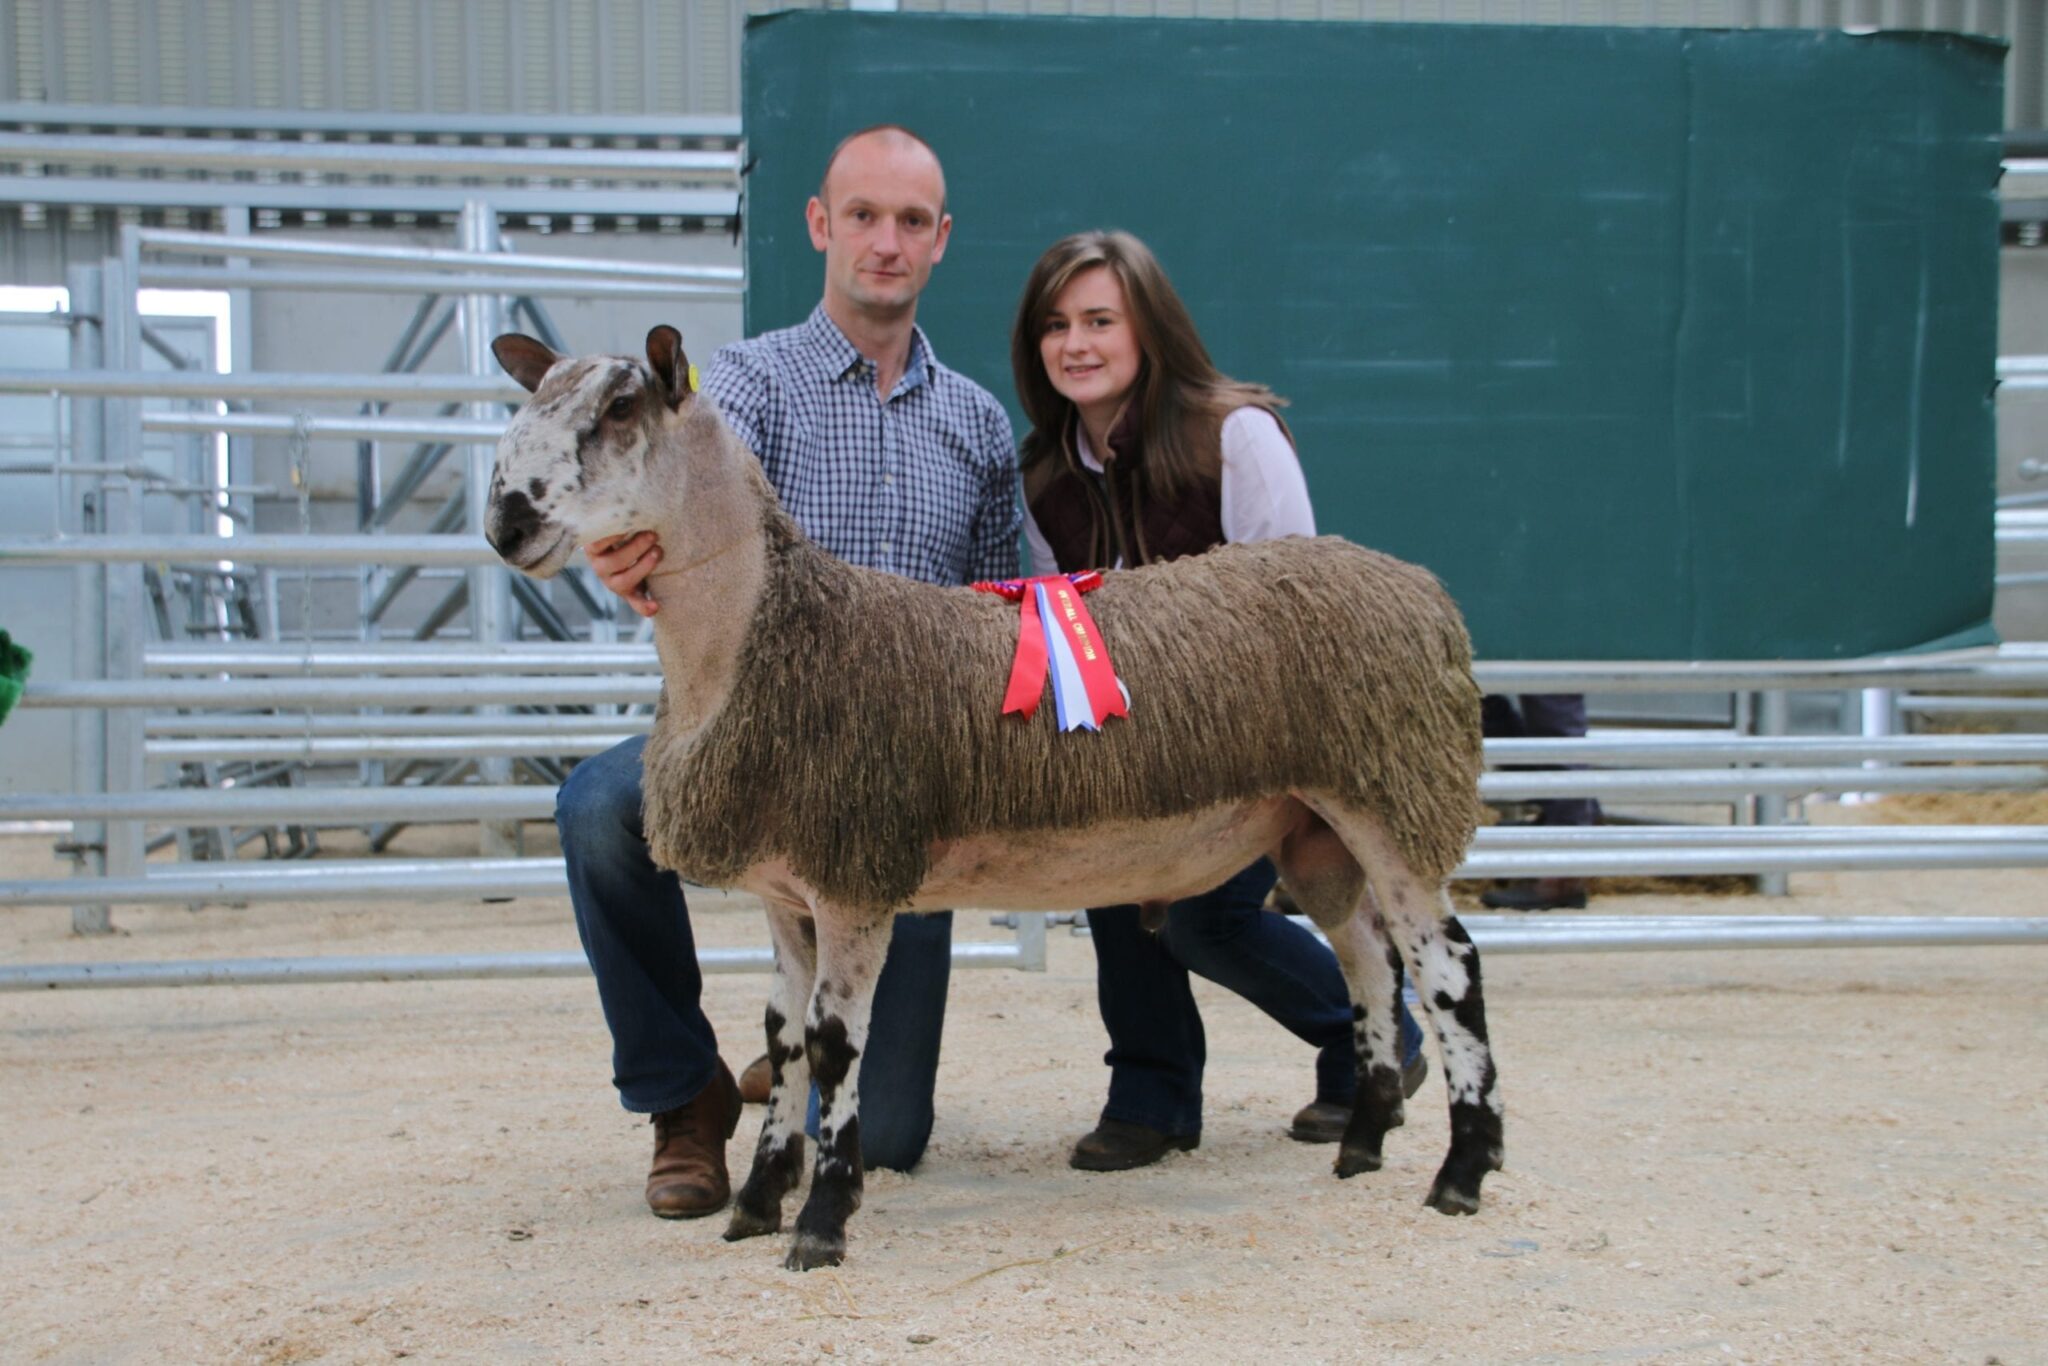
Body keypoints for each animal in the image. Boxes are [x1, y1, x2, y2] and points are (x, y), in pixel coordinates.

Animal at [481, 327, 1507, 1269]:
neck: (765, 639)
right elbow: (779, 1041)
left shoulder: (853, 878)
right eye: (533, 403)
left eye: (620, 410)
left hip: (1393, 795)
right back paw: (1364, 1145)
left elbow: (830, 1047)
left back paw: (1461, 1173)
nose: (504, 523)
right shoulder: (785, 895)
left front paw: (821, 1222)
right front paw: (757, 1205)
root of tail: (1424, 591)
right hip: (1316, 832)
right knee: (1367, 959)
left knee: (1446, 966)